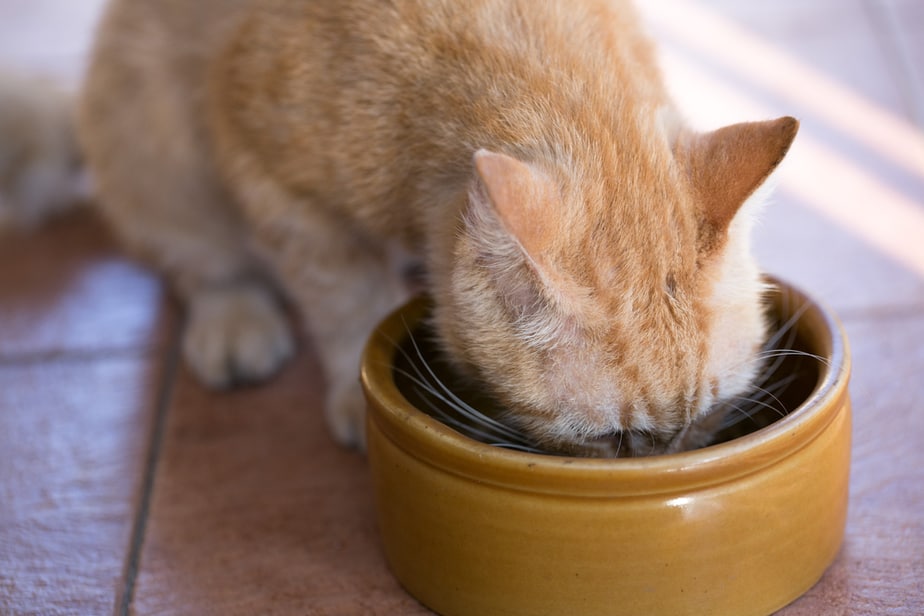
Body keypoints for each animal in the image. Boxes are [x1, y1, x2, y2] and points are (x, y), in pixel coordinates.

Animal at [76, 0, 796, 452]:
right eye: (611, 440)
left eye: (708, 416)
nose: (662, 457)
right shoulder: (276, 181)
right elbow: (345, 301)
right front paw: (355, 398)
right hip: (155, 143)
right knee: (202, 261)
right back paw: (233, 318)